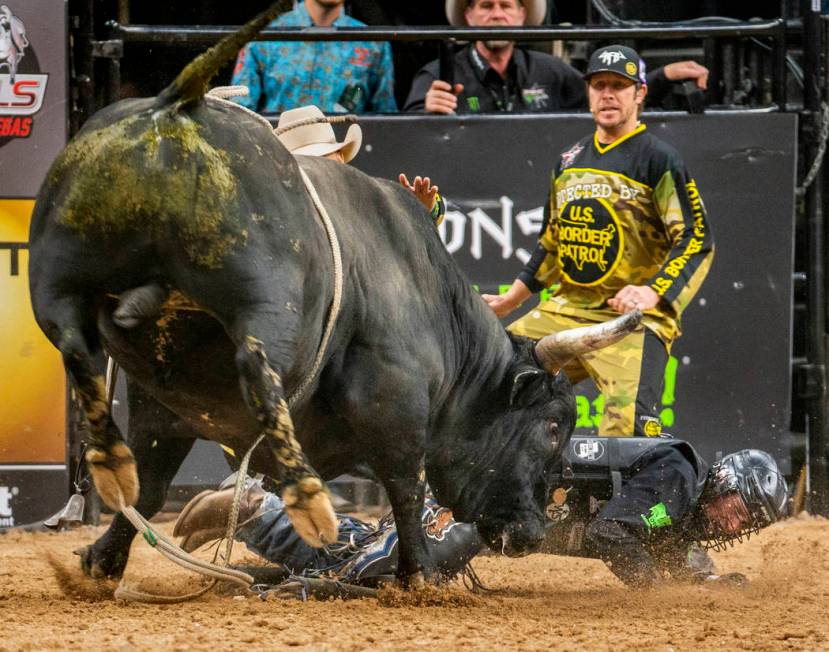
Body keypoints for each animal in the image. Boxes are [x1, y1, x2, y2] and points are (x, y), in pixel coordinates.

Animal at [25, 3, 636, 584]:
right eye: (553, 427)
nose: (534, 531)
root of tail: (176, 104)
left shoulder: (167, 402)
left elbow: (150, 487)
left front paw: (101, 560)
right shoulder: (396, 403)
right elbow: (406, 485)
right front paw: (420, 573)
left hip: (56, 271)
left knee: (73, 343)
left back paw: (111, 454)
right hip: (272, 306)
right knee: (257, 367)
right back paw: (308, 499)